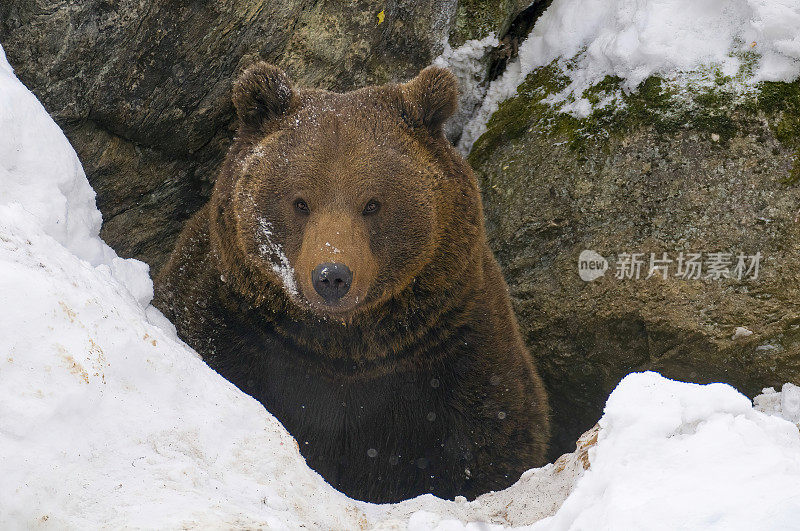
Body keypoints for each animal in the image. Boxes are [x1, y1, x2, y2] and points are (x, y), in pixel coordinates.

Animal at [152, 62, 548, 502]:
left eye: (372, 203)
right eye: (301, 201)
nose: (332, 276)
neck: (346, 346)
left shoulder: (456, 343)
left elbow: (494, 437)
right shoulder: (231, 324)